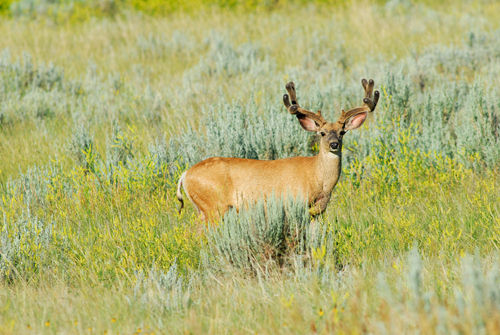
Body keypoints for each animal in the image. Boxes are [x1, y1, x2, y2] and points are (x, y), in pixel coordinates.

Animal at [176, 77, 378, 222]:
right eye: (322, 133)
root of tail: (185, 175)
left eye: (342, 132)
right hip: (213, 207)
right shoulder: (294, 204)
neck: (318, 179)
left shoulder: (317, 211)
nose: (334, 144)